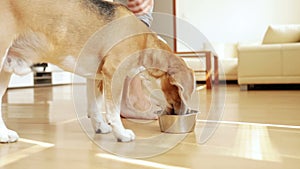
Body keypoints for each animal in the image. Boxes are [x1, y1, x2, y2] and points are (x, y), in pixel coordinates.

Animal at [0, 0, 195, 143]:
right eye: (179, 91)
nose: (185, 113)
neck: (144, 40)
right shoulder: (114, 72)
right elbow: (113, 110)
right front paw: (121, 134)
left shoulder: (95, 76)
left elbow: (95, 106)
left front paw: (100, 127)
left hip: (5, 70)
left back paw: (4, 135)